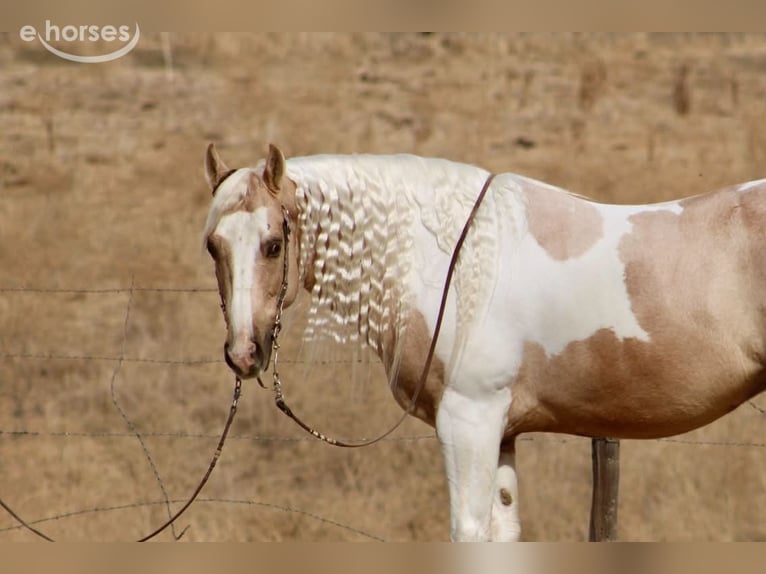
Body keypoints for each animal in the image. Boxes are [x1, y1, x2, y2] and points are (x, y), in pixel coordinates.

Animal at [202, 143, 766, 541]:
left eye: (274, 244)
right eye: (213, 246)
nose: (243, 353)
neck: (444, 259)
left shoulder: (468, 419)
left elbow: (468, 531)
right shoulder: (503, 432)